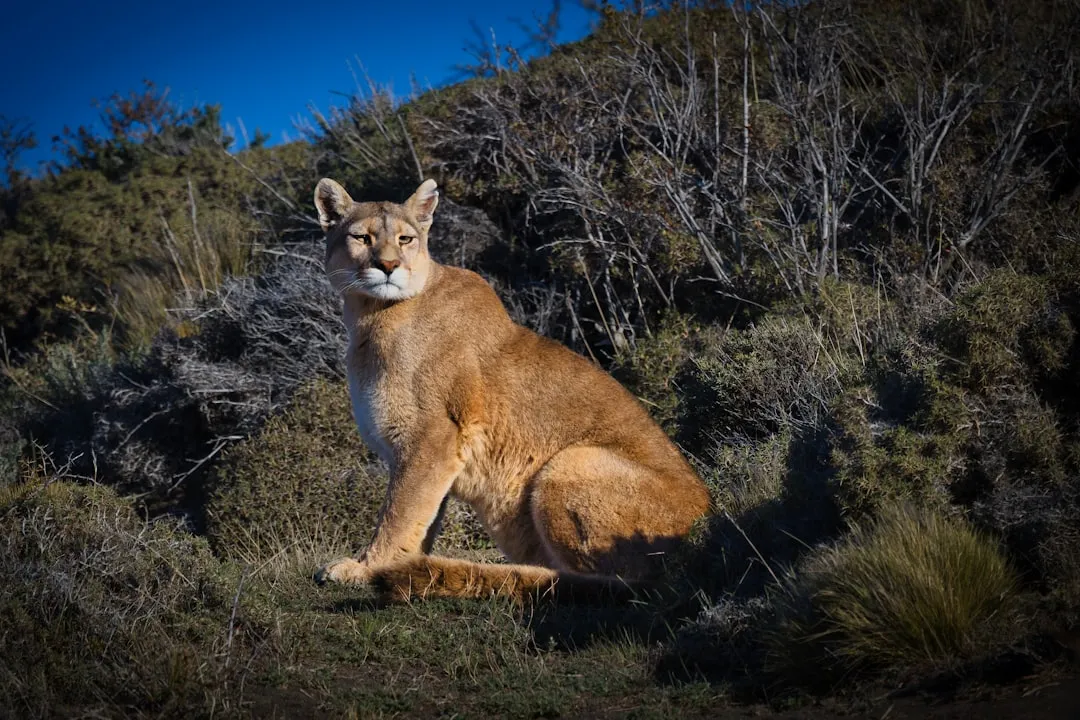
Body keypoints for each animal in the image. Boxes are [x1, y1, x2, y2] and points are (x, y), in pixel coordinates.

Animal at [312, 177, 711, 603]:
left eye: (405, 239)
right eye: (362, 237)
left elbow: (398, 512)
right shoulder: (425, 451)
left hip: (571, 462)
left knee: (598, 583)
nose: (387, 266)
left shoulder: (432, 434)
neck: (371, 316)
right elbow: (420, 518)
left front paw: (365, 568)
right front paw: (396, 564)